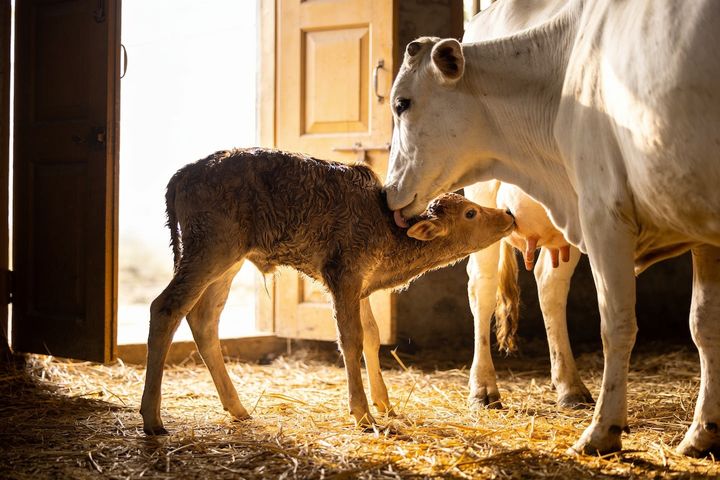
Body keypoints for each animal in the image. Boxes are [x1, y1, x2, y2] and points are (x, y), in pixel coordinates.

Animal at [383, 0, 720, 457]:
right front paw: (603, 432)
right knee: (482, 288)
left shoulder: (698, 230)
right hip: (484, 201)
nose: (388, 192)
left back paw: (570, 387)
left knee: (548, 283)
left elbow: (704, 324)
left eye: (402, 103)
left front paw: (703, 432)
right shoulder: (603, 210)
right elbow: (617, 324)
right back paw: (484, 389)